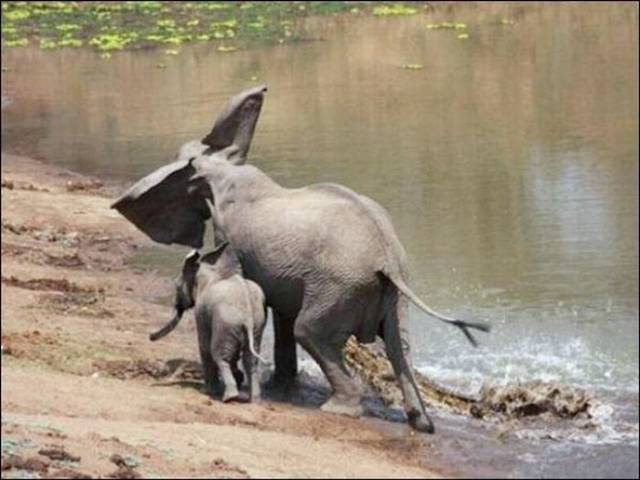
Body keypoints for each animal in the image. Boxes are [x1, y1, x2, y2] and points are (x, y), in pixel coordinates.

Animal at [149, 242, 267, 403]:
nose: (150, 336)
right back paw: (254, 400)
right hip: (256, 324)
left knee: (219, 355)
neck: (210, 270)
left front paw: (209, 391)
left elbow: (204, 346)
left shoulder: (201, 312)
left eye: (177, 285)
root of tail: (247, 315)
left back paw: (228, 397)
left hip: (227, 322)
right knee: (251, 359)